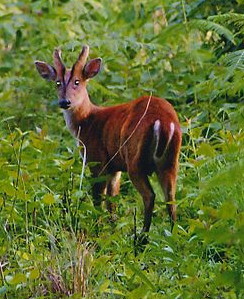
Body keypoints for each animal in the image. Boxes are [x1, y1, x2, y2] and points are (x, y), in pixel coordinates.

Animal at [35, 44, 182, 237]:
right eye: (58, 82)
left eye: (77, 82)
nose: (64, 102)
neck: (87, 122)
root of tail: (164, 122)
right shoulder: (115, 168)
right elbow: (112, 201)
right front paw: (112, 230)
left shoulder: (96, 160)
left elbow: (98, 200)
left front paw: (97, 230)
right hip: (171, 161)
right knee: (171, 198)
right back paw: (173, 234)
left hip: (135, 159)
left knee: (150, 196)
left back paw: (141, 237)